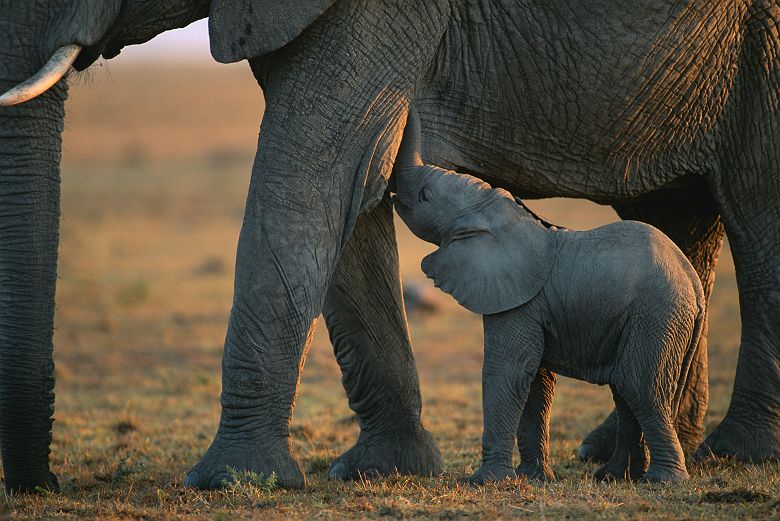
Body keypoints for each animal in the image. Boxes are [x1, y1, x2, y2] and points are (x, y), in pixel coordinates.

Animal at [394, 107, 704, 482]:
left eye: (425, 195)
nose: (408, 107)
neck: (500, 213)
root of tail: (693, 282)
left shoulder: (519, 301)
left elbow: (508, 371)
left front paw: (485, 481)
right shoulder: (532, 305)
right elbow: (536, 382)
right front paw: (534, 478)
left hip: (657, 315)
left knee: (641, 387)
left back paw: (662, 479)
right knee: (625, 391)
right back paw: (613, 476)